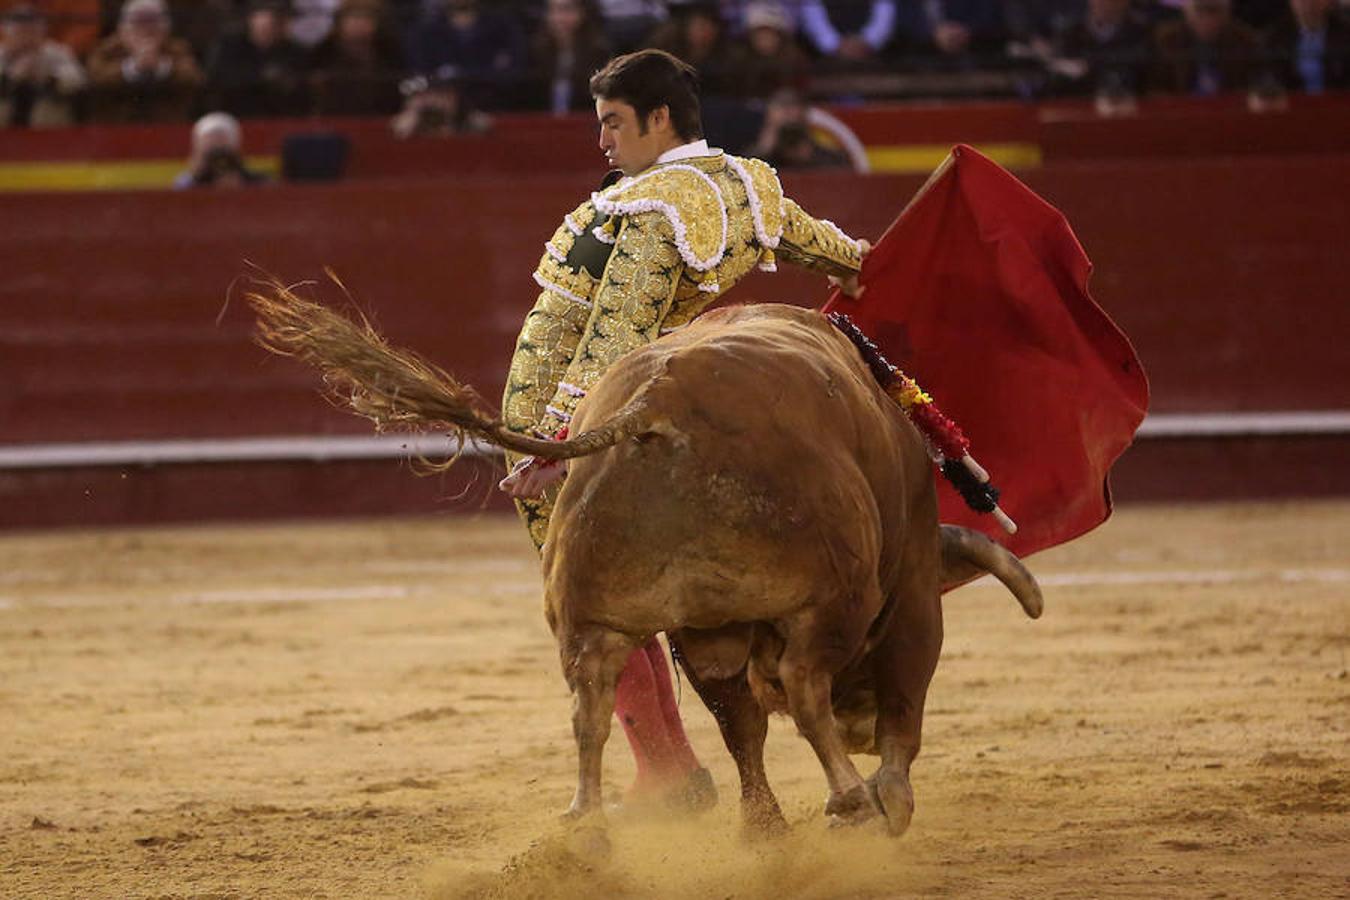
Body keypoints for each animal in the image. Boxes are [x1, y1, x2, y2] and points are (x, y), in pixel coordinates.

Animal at [248, 288, 1036, 836]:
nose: (858, 733)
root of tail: (658, 404)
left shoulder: (704, 630)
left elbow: (737, 723)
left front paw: (766, 828)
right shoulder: (909, 594)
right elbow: (903, 696)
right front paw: (886, 796)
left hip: (593, 611)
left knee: (593, 703)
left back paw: (590, 824)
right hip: (826, 599)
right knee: (804, 684)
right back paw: (851, 801)